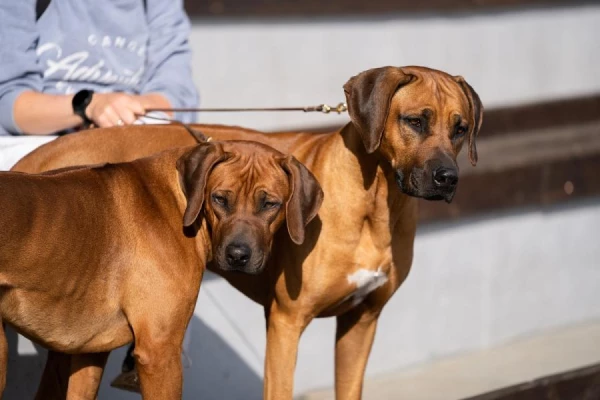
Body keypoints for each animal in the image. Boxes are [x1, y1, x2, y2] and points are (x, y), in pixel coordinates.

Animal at [3, 139, 324, 398]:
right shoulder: (160, 352)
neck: (183, 201)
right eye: (220, 199)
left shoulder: (89, 353)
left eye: (270, 204)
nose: (237, 255)